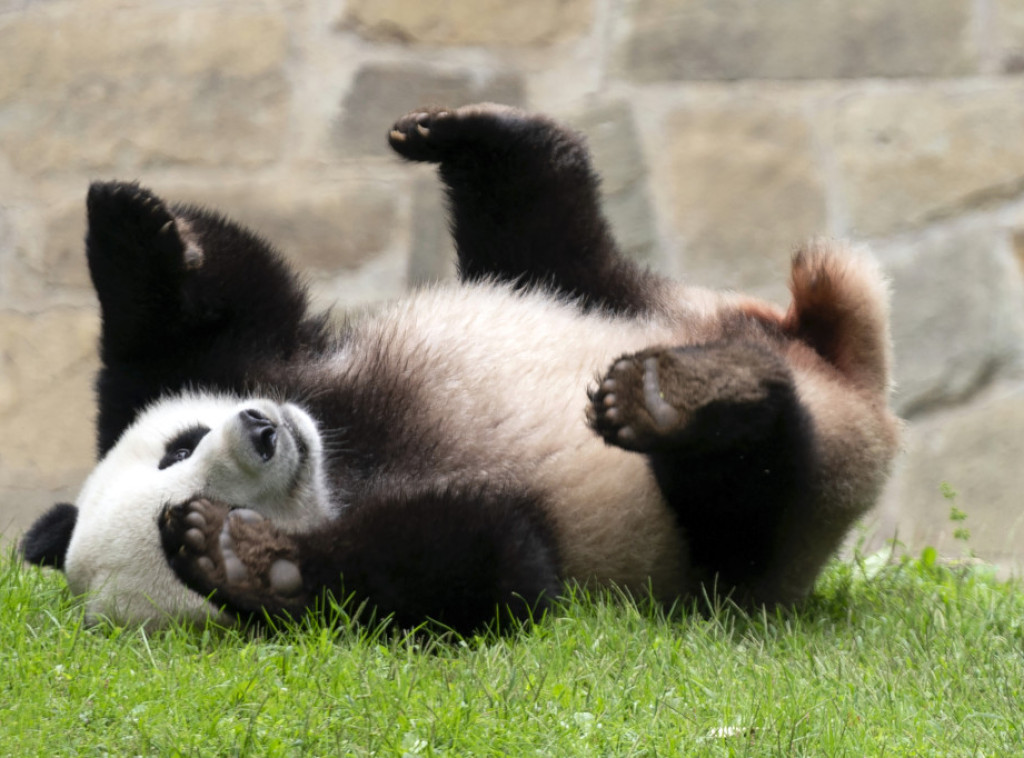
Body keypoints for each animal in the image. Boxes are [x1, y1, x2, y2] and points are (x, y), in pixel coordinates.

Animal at [16, 101, 897, 635]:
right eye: (202, 485)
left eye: (178, 446)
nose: (263, 431)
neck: (344, 458)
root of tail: (848, 377)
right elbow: (491, 568)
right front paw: (245, 560)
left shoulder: (269, 365)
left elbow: (215, 313)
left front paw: (129, 224)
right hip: (752, 538)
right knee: (748, 490)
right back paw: (684, 400)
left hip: (627, 298)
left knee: (548, 231)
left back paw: (472, 136)